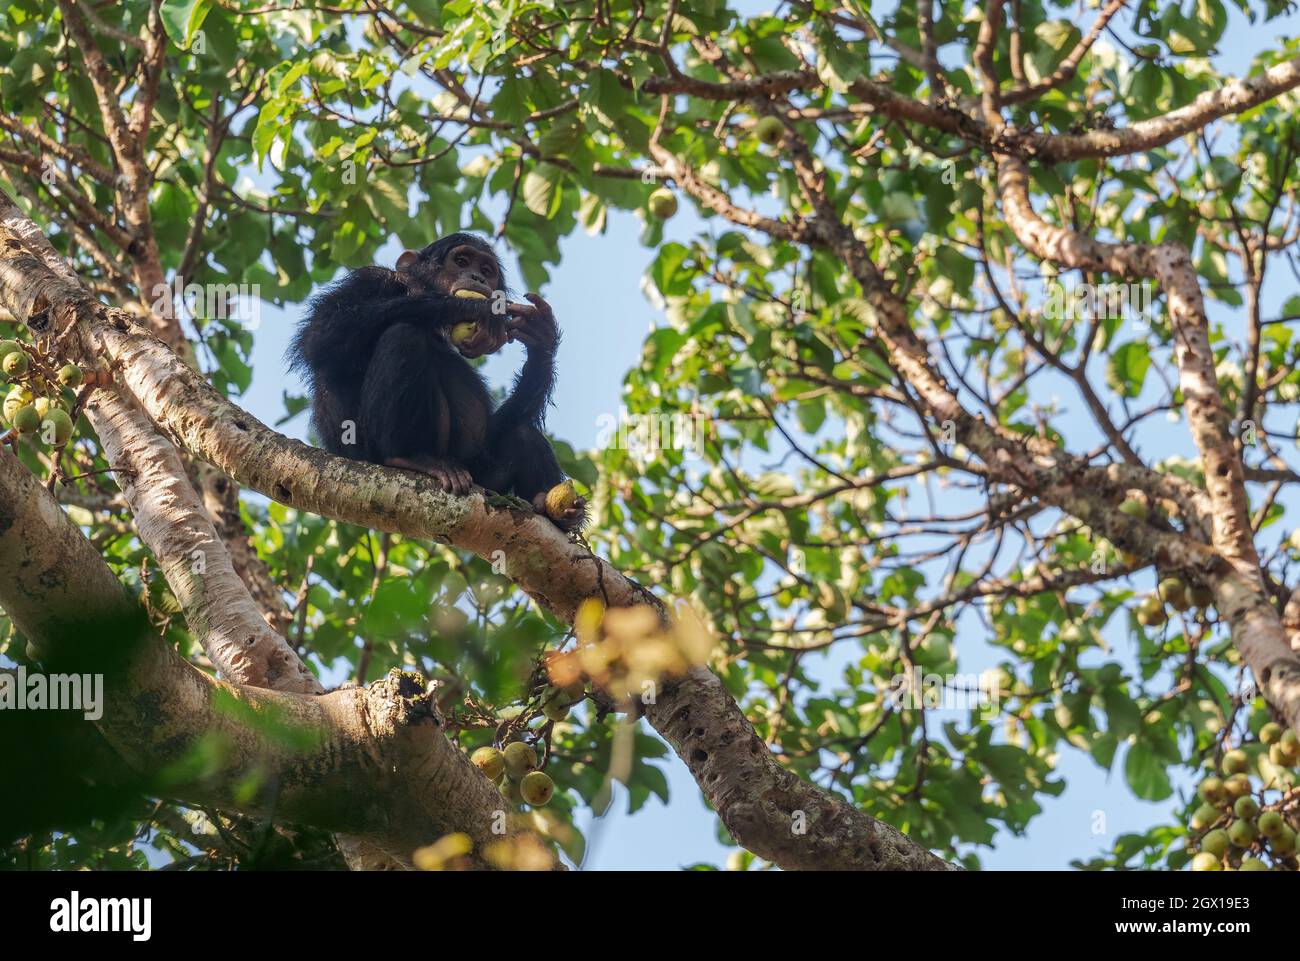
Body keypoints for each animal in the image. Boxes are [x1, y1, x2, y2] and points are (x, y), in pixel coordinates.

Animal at [291, 234, 590, 533]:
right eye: (462, 261)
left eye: (486, 271)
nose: (477, 278)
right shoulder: (371, 278)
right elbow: (322, 334)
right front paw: (475, 308)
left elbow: (498, 425)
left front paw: (540, 338)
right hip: (365, 456)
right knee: (403, 335)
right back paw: (411, 457)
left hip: (482, 477)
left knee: (522, 434)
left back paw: (554, 510)